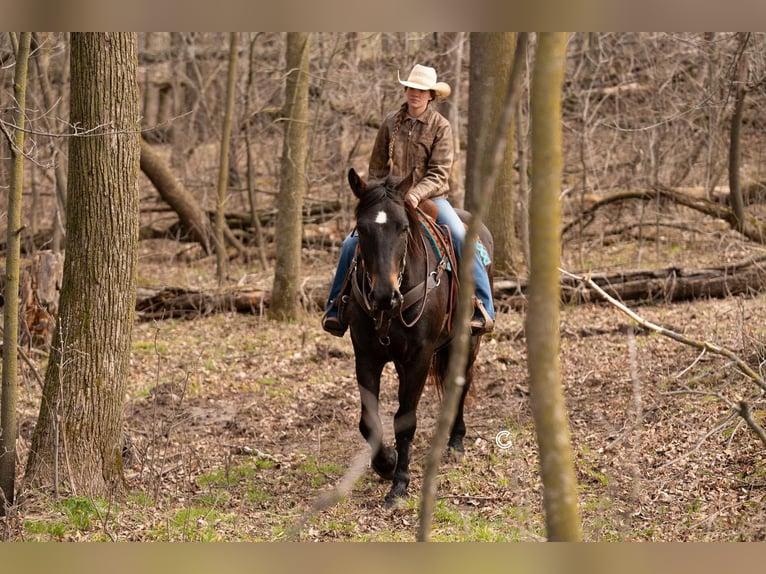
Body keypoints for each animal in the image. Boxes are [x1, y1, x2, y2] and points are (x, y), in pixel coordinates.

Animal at [344, 168, 496, 508]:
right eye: (362, 229)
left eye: (403, 228)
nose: (384, 295)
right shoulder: (366, 356)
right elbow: (368, 420)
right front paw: (385, 462)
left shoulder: (420, 356)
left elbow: (406, 419)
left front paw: (399, 482)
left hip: (468, 341)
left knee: (461, 383)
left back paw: (456, 440)